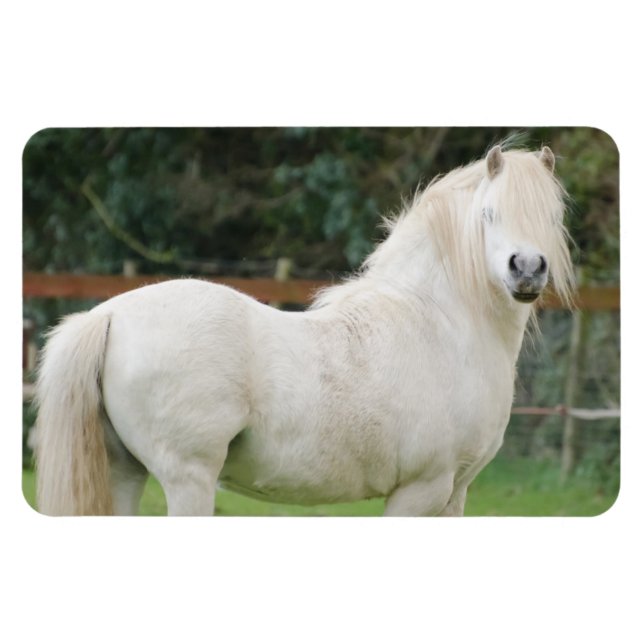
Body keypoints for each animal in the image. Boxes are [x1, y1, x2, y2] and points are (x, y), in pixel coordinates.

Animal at [33, 144, 575, 516]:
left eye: (552, 216)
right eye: (488, 214)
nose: (527, 269)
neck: (438, 323)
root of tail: (109, 316)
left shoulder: (455, 495)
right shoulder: (420, 492)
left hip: (123, 472)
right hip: (189, 480)